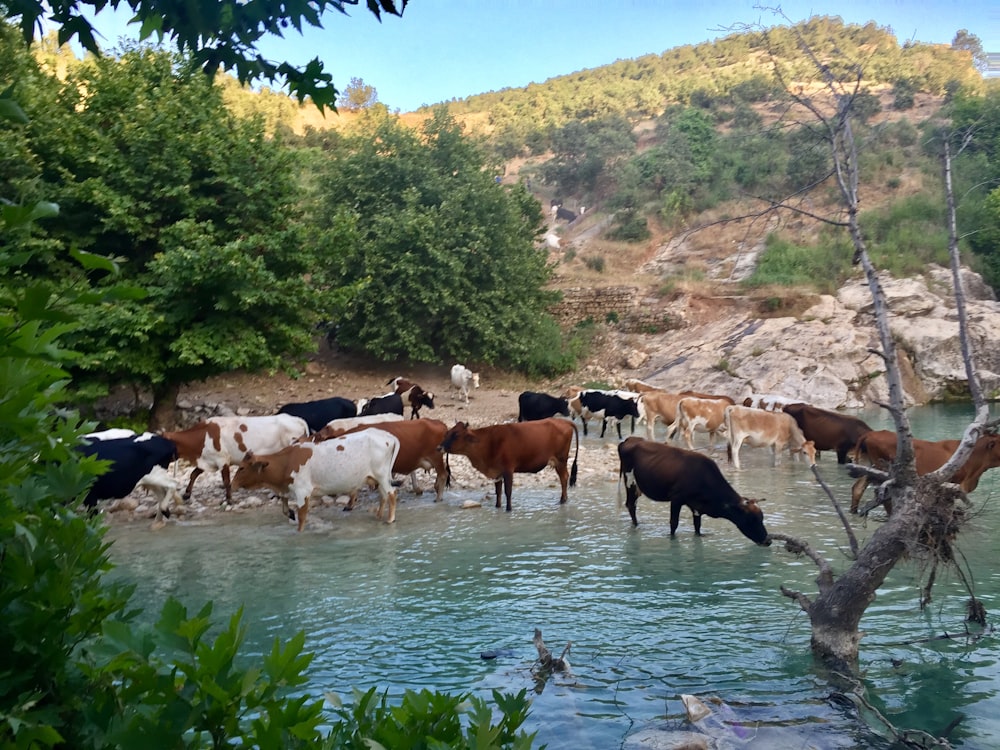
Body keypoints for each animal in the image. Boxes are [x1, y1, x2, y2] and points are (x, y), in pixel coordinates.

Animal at [231, 428, 402, 536]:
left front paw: (299, 531)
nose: (232, 484)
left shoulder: (302, 492)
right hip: (378, 477)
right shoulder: (285, 489)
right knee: (383, 495)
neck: (286, 462)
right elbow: (285, 510)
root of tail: (388, 436)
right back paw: (379, 516)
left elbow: (301, 517)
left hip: (381, 475)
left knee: (392, 493)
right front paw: (290, 513)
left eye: (242, 468)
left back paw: (390, 519)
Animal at [438, 420, 580, 516]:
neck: (489, 443)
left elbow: (508, 491)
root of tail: (564, 421)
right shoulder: (497, 472)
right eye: (447, 433)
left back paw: (562, 500)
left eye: (456, 434)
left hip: (560, 460)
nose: (439, 447)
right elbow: (498, 492)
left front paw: (509, 509)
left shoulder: (508, 470)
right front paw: (498, 507)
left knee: (564, 478)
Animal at [616, 434, 772, 548]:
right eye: (751, 519)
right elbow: (674, 523)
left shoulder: (697, 506)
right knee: (631, 505)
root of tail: (630, 439)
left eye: (762, 518)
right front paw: (672, 539)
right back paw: (636, 527)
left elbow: (697, 525)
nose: (768, 541)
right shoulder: (676, 499)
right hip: (630, 480)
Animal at [848, 432, 1000, 516]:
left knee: (858, 488)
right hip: (884, 470)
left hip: (868, 468)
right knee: (884, 498)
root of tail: (871, 434)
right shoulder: (952, 485)